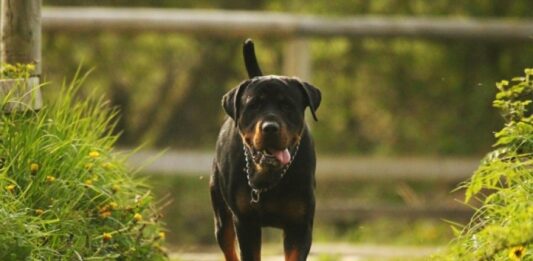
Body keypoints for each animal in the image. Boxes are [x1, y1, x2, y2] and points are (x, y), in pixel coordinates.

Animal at [211, 39, 320, 260]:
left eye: (287, 105)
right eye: (253, 105)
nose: (270, 127)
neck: (269, 175)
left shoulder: (300, 224)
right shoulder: (245, 222)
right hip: (221, 214)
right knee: (227, 244)